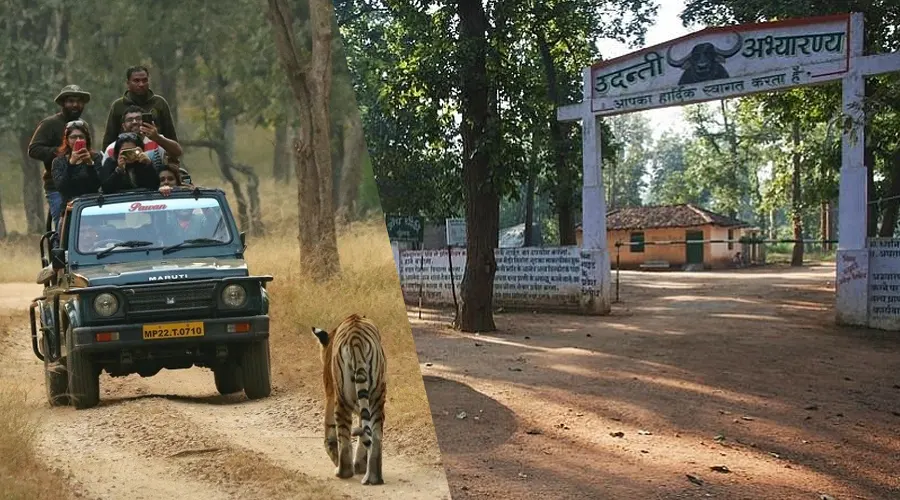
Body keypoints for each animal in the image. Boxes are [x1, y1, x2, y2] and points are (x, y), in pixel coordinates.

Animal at [312, 312, 384, 484]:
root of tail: (356, 339)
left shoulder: (330, 392)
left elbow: (330, 429)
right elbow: (364, 431)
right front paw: (360, 465)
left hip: (342, 398)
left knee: (344, 437)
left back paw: (342, 471)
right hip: (377, 396)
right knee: (376, 435)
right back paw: (373, 478)